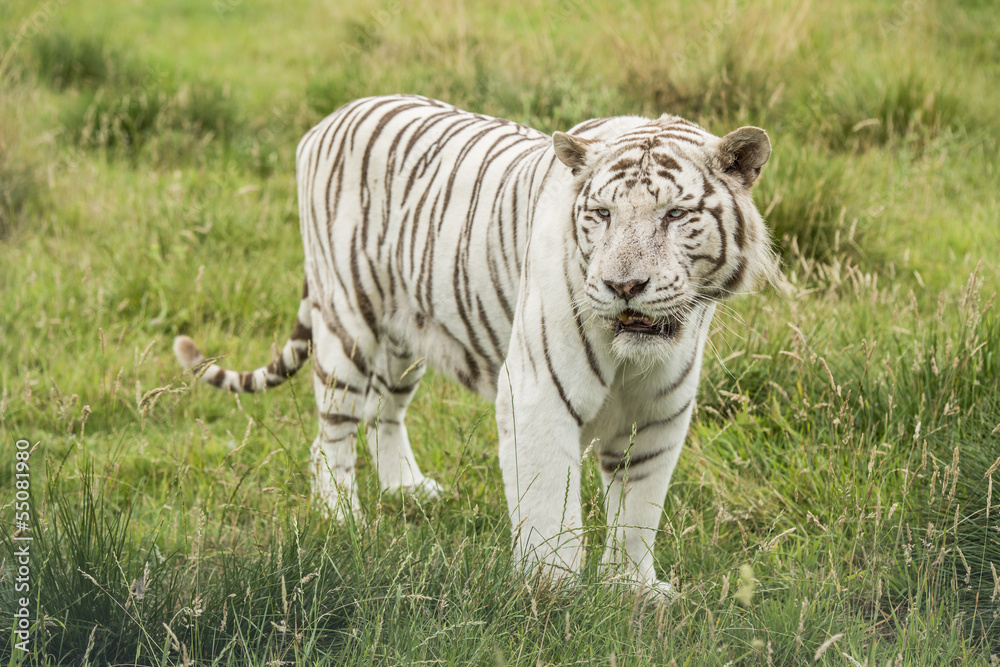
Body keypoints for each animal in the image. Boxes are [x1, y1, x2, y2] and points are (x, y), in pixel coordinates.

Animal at [174, 94, 777, 591]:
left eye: (675, 215)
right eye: (602, 215)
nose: (623, 286)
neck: (634, 356)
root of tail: (333, 116)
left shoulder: (658, 414)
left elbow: (637, 512)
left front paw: (635, 591)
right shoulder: (538, 394)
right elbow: (550, 511)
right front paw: (552, 598)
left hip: (407, 340)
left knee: (383, 413)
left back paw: (407, 489)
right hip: (347, 323)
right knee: (331, 432)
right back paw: (344, 517)